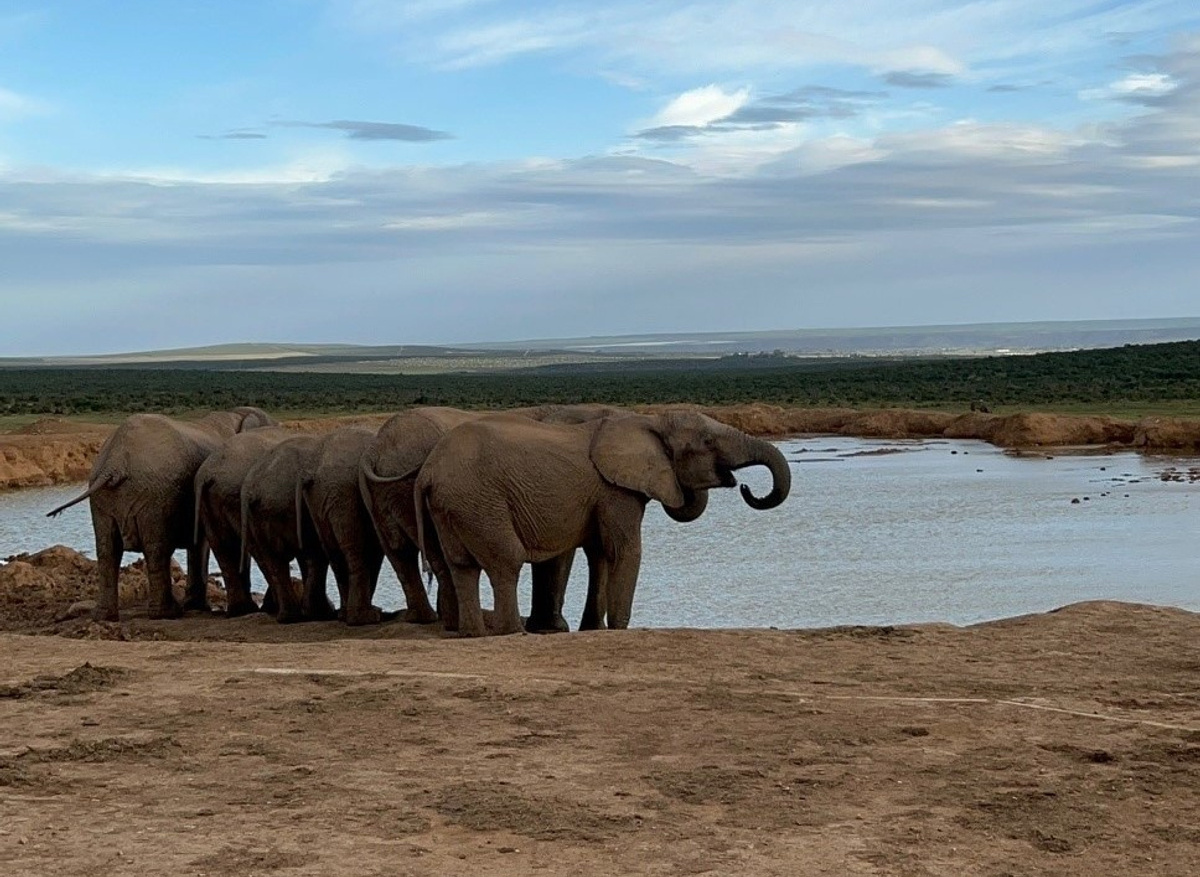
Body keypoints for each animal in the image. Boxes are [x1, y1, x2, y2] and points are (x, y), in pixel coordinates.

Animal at [46, 407, 277, 621]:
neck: (236, 414)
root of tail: (115, 461)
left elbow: (198, 544)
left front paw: (194, 606)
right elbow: (201, 544)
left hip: (105, 497)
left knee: (107, 550)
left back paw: (105, 616)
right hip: (154, 495)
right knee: (156, 548)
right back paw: (166, 613)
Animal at [240, 434, 339, 623]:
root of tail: (253, 490)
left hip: (262, 514)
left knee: (275, 561)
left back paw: (290, 617)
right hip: (283, 507)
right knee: (313, 554)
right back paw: (318, 614)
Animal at [358, 404, 629, 632]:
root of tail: (375, 449)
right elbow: (561, 555)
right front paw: (554, 628)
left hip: (384, 493)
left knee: (401, 553)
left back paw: (434, 620)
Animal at [415, 410, 790, 637]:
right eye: (708, 442)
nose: (745, 486)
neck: (650, 423)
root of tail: (428, 471)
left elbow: (601, 555)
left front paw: (593, 629)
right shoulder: (615, 490)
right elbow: (624, 551)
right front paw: (620, 629)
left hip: (452, 506)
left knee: (461, 566)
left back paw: (472, 634)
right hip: (479, 500)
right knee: (506, 561)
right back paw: (512, 633)